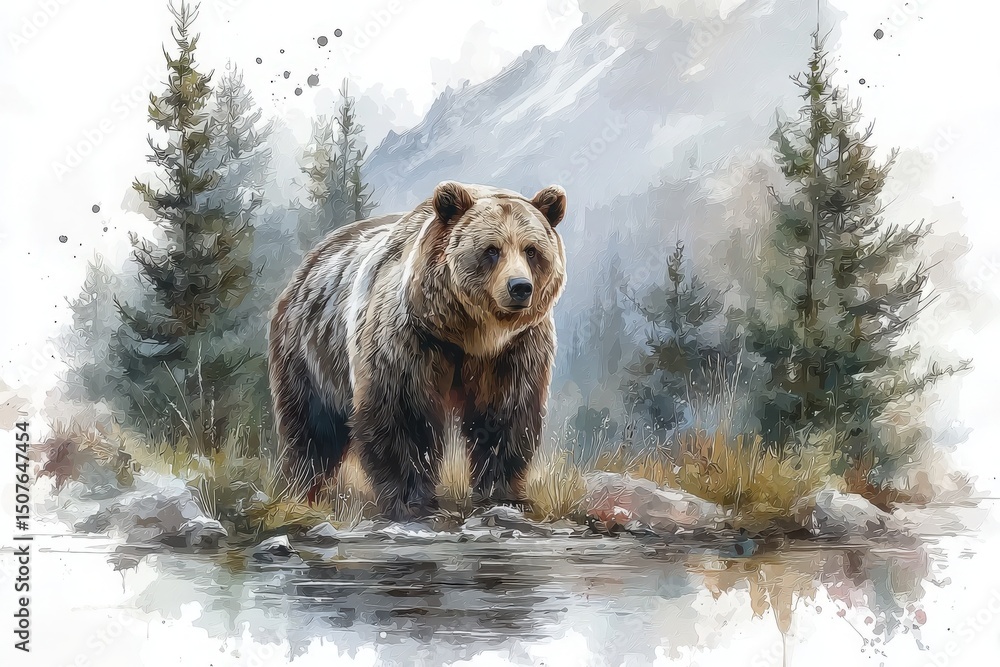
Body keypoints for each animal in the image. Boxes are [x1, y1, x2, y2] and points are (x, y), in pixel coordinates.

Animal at [268, 181, 567, 520]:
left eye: (531, 250)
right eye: (491, 250)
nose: (519, 287)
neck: (470, 333)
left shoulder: (513, 350)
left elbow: (504, 415)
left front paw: (502, 494)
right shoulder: (412, 338)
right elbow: (403, 414)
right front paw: (411, 500)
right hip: (312, 351)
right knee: (314, 429)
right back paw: (303, 490)